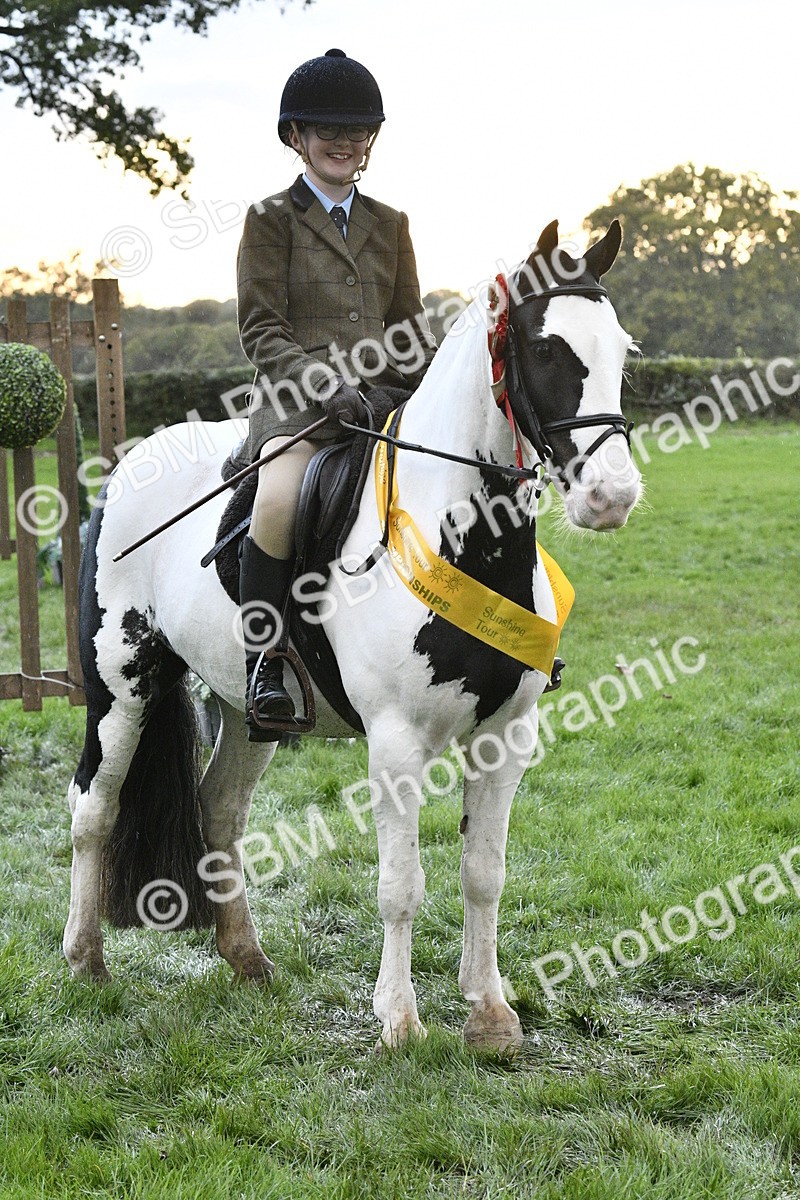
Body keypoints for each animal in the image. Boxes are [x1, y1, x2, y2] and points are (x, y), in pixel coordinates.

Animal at [63, 219, 642, 1051]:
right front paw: (400, 1020)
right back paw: (85, 959)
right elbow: (402, 883)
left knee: (220, 810)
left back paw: (247, 958)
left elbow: (483, 874)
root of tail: (126, 465)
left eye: (622, 350)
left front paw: (490, 1013)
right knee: (94, 808)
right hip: (120, 687)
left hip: (249, 708)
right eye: (544, 350)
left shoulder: (507, 739)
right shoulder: (396, 744)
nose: (611, 496)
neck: (462, 536)